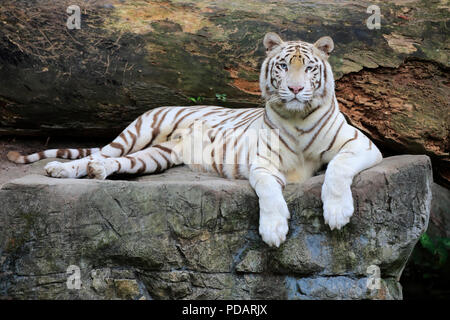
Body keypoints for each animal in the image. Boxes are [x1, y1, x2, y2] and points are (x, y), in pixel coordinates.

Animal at [7, 32, 380, 248]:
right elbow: (269, 192)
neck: (298, 117)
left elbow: (338, 169)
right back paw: (60, 170)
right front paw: (274, 230)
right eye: (284, 66)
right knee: (94, 155)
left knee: (112, 163)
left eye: (310, 68)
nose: (296, 89)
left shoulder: (361, 145)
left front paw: (337, 213)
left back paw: (98, 171)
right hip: (138, 132)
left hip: (154, 157)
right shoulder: (262, 163)